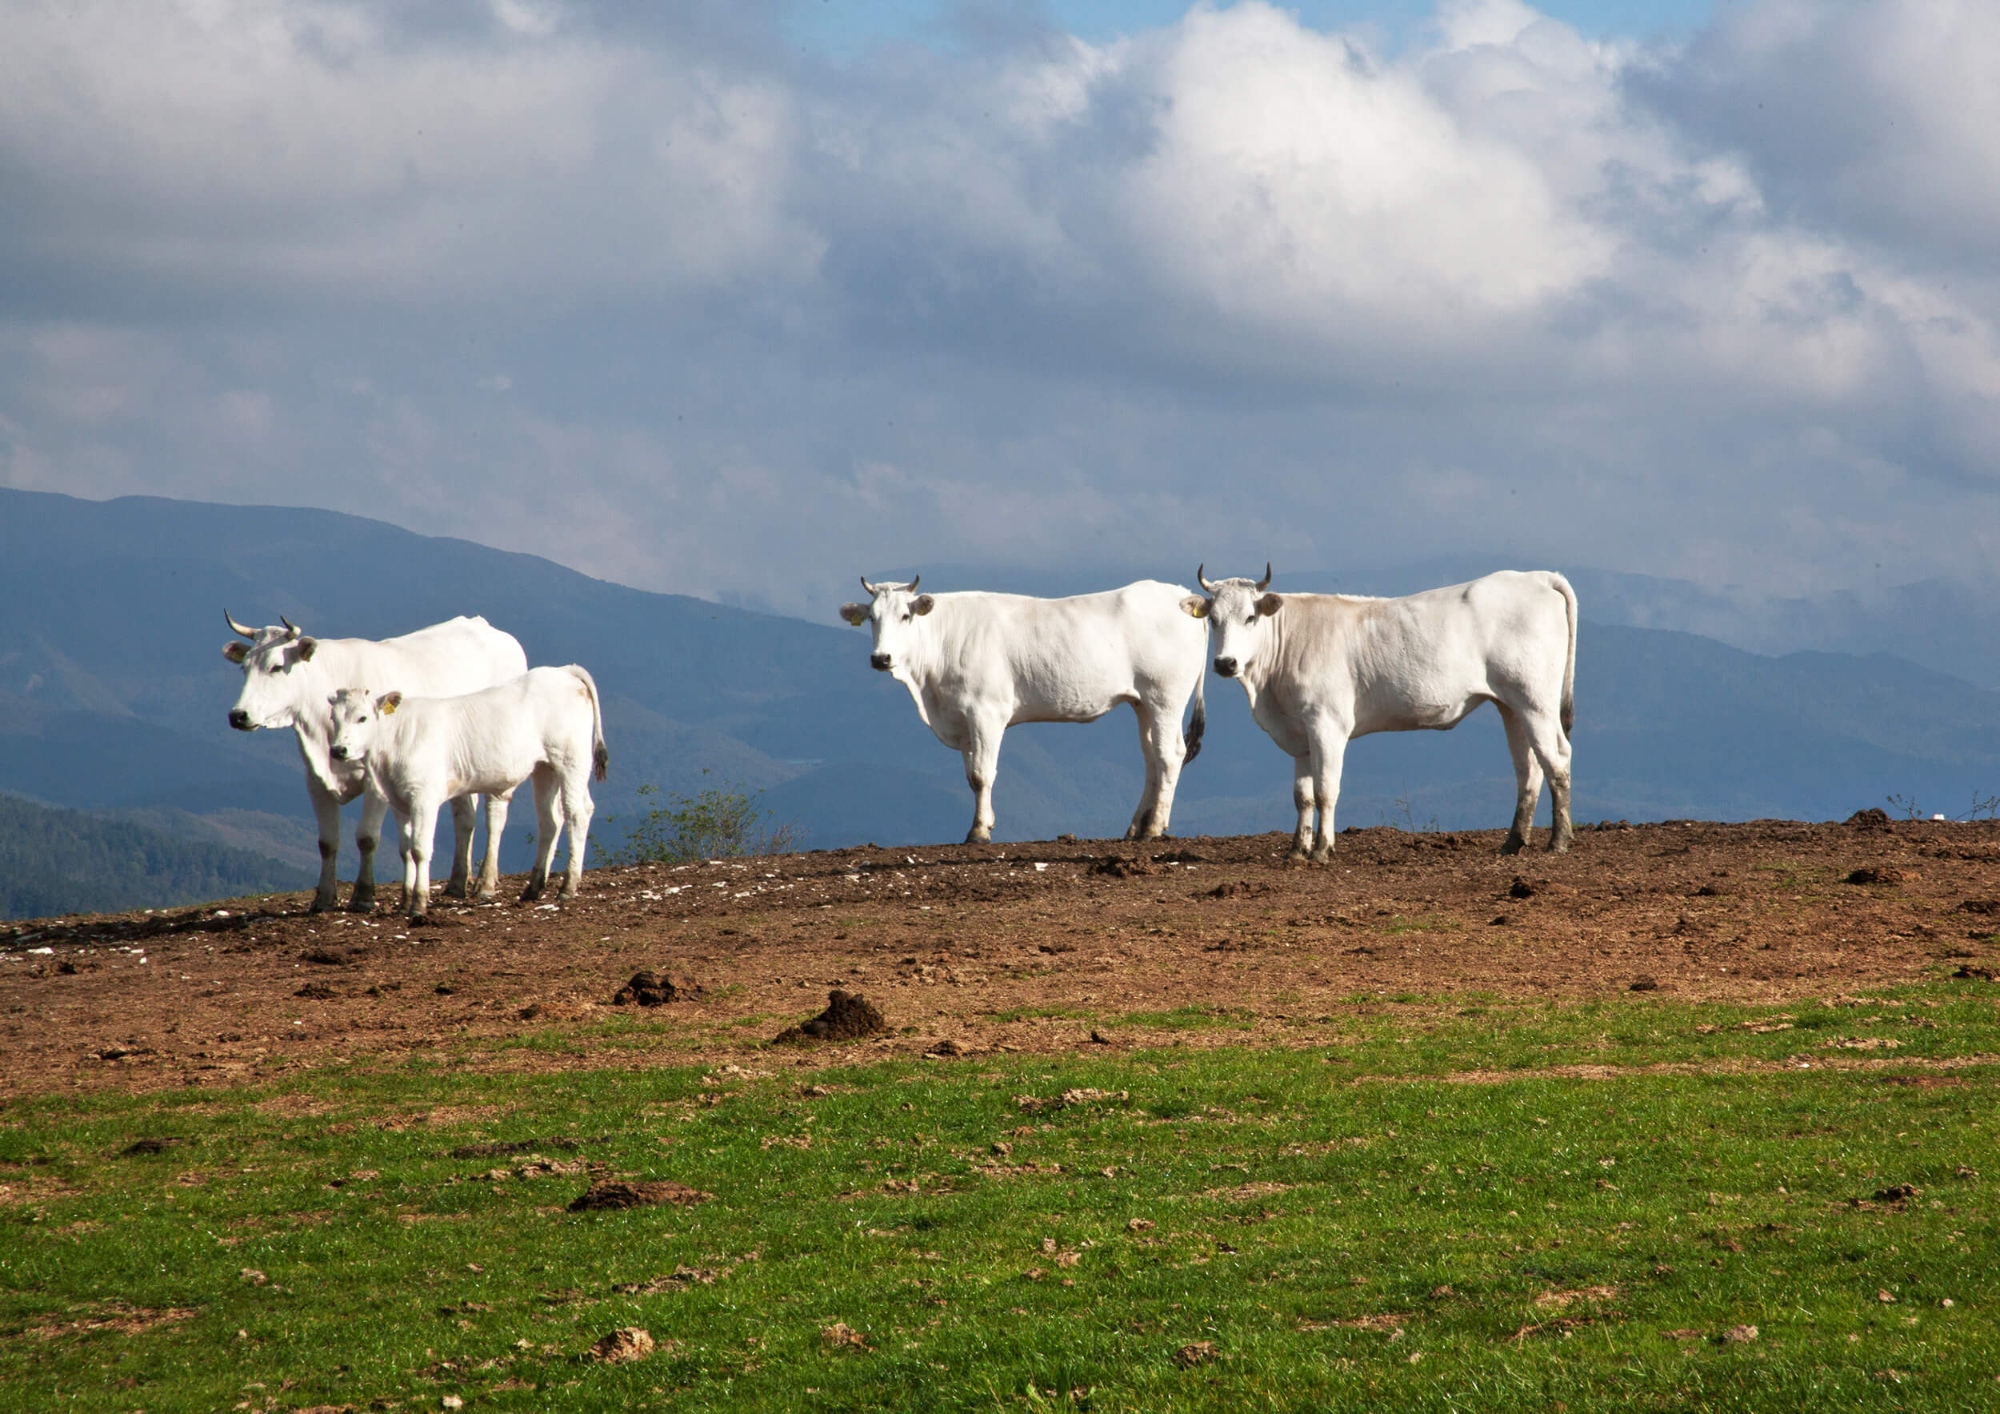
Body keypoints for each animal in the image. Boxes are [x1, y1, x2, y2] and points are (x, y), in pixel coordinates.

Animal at [225, 612, 532, 912]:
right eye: (244, 668)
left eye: (276, 667)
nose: (238, 715)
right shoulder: (314, 778)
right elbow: (327, 842)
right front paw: (324, 898)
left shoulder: (375, 781)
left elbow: (367, 837)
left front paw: (363, 895)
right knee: (465, 817)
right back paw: (457, 882)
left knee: (494, 818)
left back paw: (485, 883)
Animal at [324, 664, 608, 920]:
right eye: (333, 719)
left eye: (362, 717)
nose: (338, 750)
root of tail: (564, 670)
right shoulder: (398, 800)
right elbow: (405, 850)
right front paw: (404, 902)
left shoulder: (424, 797)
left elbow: (420, 848)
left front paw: (419, 905)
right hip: (544, 768)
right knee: (550, 819)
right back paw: (533, 888)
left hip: (571, 760)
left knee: (576, 814)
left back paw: (568, 887)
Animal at [840, 576, 1208, 840]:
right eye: (871, 617)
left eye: (905, 616)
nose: (880, 658)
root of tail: (1181, 595)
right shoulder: (962, 719)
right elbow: (970, 776)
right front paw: (985, 823)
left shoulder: (985, 712)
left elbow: (982, 773)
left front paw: (978, 832)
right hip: (1142, 702)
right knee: (1152, 758)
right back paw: (1135, 827)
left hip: (1165, 697)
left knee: (1171, 755)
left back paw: (1153, 828)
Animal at [1184, 572, 1576, 864]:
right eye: (1214, 620)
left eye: (1250, 618)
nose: (1225, 663)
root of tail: (1534, 576)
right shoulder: (1300, 734)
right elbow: (1303, 796)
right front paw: (1297, 850)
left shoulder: (1327, 724)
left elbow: (1326, 790)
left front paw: (1322, 850)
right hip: (1511, 704)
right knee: (1528, 768)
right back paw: (1513, 842)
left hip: (1535, 699)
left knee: (1557, 760)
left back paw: (1559, 841)